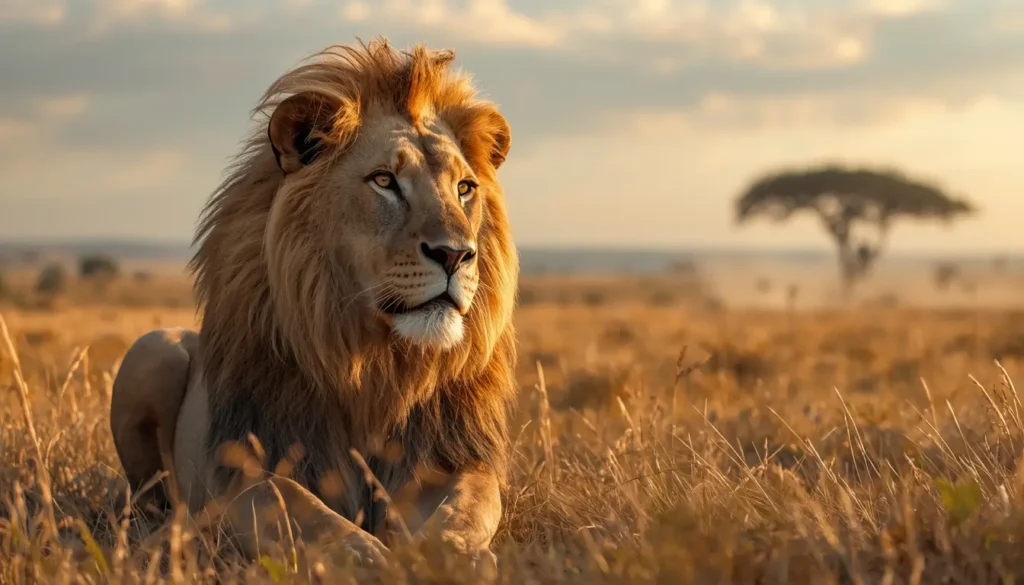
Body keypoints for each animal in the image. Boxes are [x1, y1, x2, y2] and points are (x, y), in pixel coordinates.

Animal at [108, 38, 518, 570]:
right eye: (384, 181)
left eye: (465, 188)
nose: (456, 254)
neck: (376, 365)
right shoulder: (247, 470)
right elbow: (305, 511)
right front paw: (373, 560)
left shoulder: (444, 459)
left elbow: (464, 510)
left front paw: (452, 557)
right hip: (152, 351)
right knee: (144, 500)